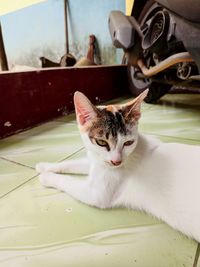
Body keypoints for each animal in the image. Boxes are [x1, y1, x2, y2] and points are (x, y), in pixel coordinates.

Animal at [36, 89, 200, 243]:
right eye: (101, 142)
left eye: (128, 142)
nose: (116, 162)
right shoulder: (97, 161)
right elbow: (74, 163)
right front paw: (44, 166)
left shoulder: (96, 195)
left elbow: (67, 181)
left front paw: (46, 177)